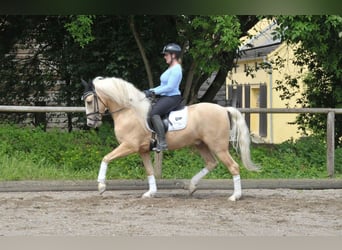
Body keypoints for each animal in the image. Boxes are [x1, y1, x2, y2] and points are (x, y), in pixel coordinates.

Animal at [82, 76, 260, 201]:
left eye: (89, 101)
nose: (91, 123)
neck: (129, 111)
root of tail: (223, 109)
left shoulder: (129, 146)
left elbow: (106, 158)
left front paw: (101, 186)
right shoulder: (142, 150)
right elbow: (149, 171)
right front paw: (151, 193)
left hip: (219, 147)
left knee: (233, 167)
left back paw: (234, 196)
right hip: (201, 144)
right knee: (211, 163)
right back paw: (191, 186)